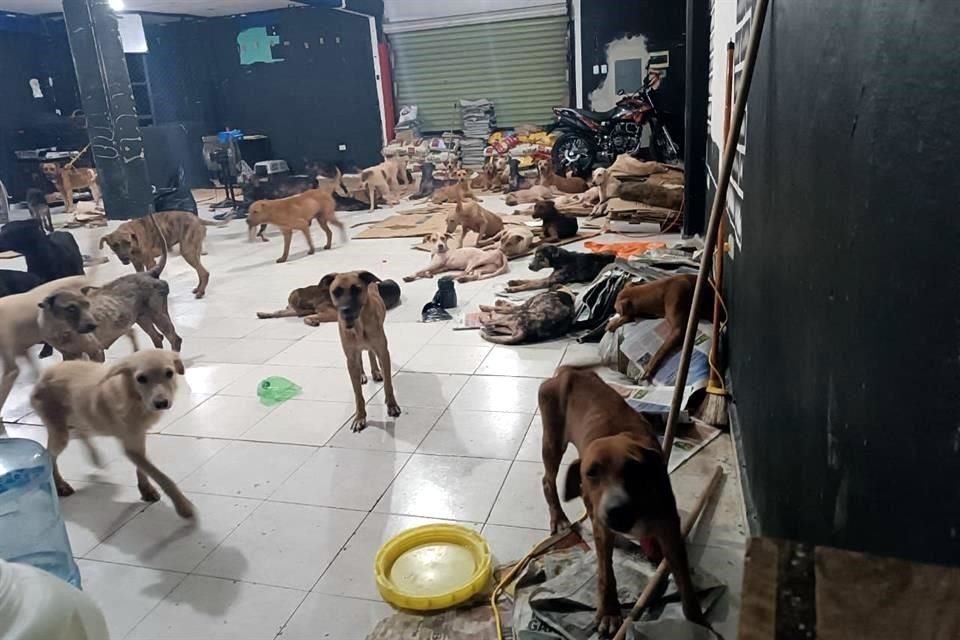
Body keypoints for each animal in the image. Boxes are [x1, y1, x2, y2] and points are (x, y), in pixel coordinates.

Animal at [31, 350, 195, 520]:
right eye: (141, 378)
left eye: (169, 373)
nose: (161, 403)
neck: (133, 396)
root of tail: (43, 376)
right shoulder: (130, 448)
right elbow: (161, 476)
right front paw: (183, 506)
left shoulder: (139, 437)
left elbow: (143, 469)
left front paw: (146, 490)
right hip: (60, 433)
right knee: (50, 455)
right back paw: (60, 485)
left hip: (79, 417)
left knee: (80, 433)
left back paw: (94, 457)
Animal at [320, 270, 400, 430]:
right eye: (336, 292)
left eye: (356, 289)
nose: (346, 310)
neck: (358, 326)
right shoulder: (350, 358)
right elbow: (358, 395)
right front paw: (359, 417)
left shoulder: (383, 352)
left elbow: (388, 384)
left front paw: (391, 405)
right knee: (362, 358)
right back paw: (363, 374)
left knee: (370, 353)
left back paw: (376, 372)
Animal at [540, 362, 704, 632]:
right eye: (592, 473)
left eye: (634, 469)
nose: (616, 510)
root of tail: (568, 372)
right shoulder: (602, 528)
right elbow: (606, 573)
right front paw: (608, 611)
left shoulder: (669, 528)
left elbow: (683, 576)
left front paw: (695, 619)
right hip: (552, 442)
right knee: (547, 481)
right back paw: (559, 517)